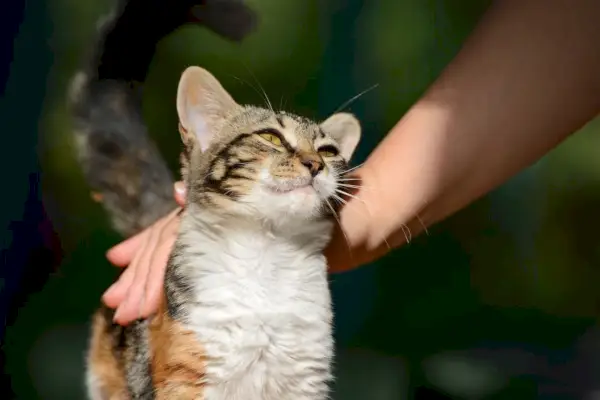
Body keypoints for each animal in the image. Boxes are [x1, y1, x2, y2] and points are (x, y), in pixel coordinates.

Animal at [85, 66, 360, 400]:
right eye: (271, 137)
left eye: (328, 151)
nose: (315, 164)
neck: (268, 248)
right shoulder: (186, 377)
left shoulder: (306, 378)